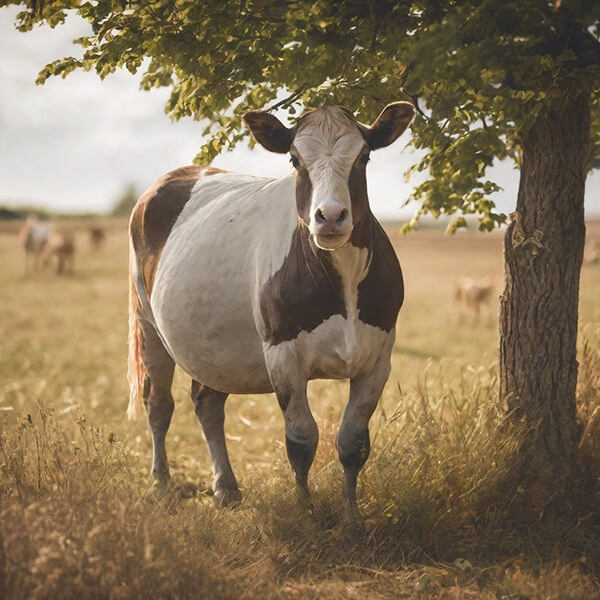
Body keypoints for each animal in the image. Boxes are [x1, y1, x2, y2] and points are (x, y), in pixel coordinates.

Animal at [126, 101, 414, 524]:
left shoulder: (378, 357)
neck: (342, 281)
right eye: (295, 160)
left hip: (211, 345)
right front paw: (305, 512)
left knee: (207, 403)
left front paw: (351, 517)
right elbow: (301, 439)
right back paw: (160, 484)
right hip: (147, 322)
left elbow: (353, 442)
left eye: (363, 157)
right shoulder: (283, 353)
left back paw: (226, 488)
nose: (330, 216)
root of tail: (179, 173)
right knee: (159, 404)